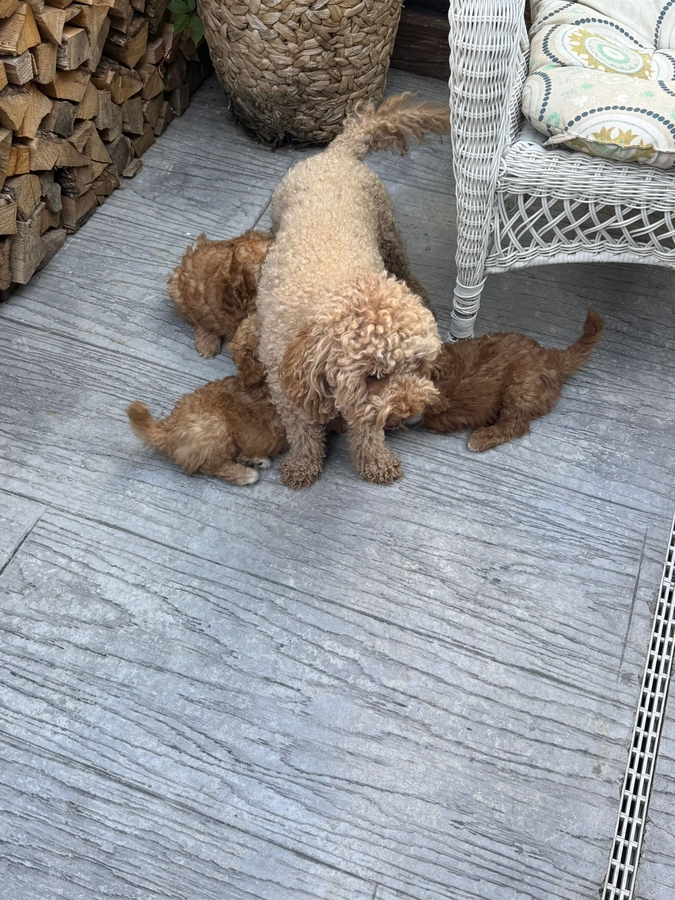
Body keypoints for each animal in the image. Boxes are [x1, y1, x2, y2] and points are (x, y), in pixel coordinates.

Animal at [256, 93, 449, 490]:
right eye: (374, 377)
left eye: (417, 365)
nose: (411, 414)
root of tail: (337, 154)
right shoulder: (288, 391)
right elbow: (302, 432)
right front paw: (303, 465)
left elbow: (366, 429)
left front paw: (375, 460)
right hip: (281, 214)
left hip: (387, 230)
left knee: (402, 263)